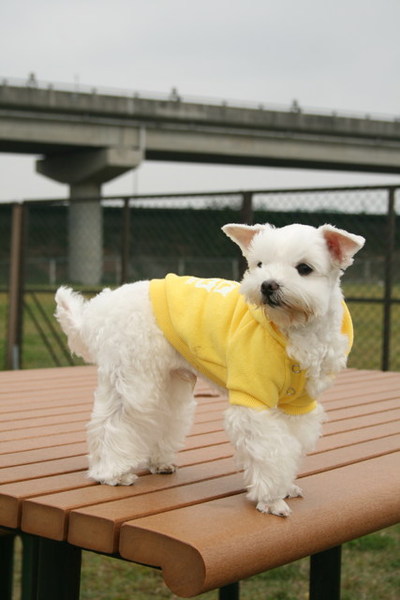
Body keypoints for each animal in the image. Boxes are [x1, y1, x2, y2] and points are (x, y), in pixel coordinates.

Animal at [54, 224, 364, 516]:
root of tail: (100, 308)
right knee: (113, 422)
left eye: (304, 269)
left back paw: (157, 462)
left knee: (155, 417)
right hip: (135, 376)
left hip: (167, 379)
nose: (268, 285)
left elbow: (291, 447)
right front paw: (271, 500)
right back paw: (111, 473)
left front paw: (285, 487)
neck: (291, 329)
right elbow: (271, 451)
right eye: (259, 264)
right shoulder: (253, 399)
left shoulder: (297, 406)